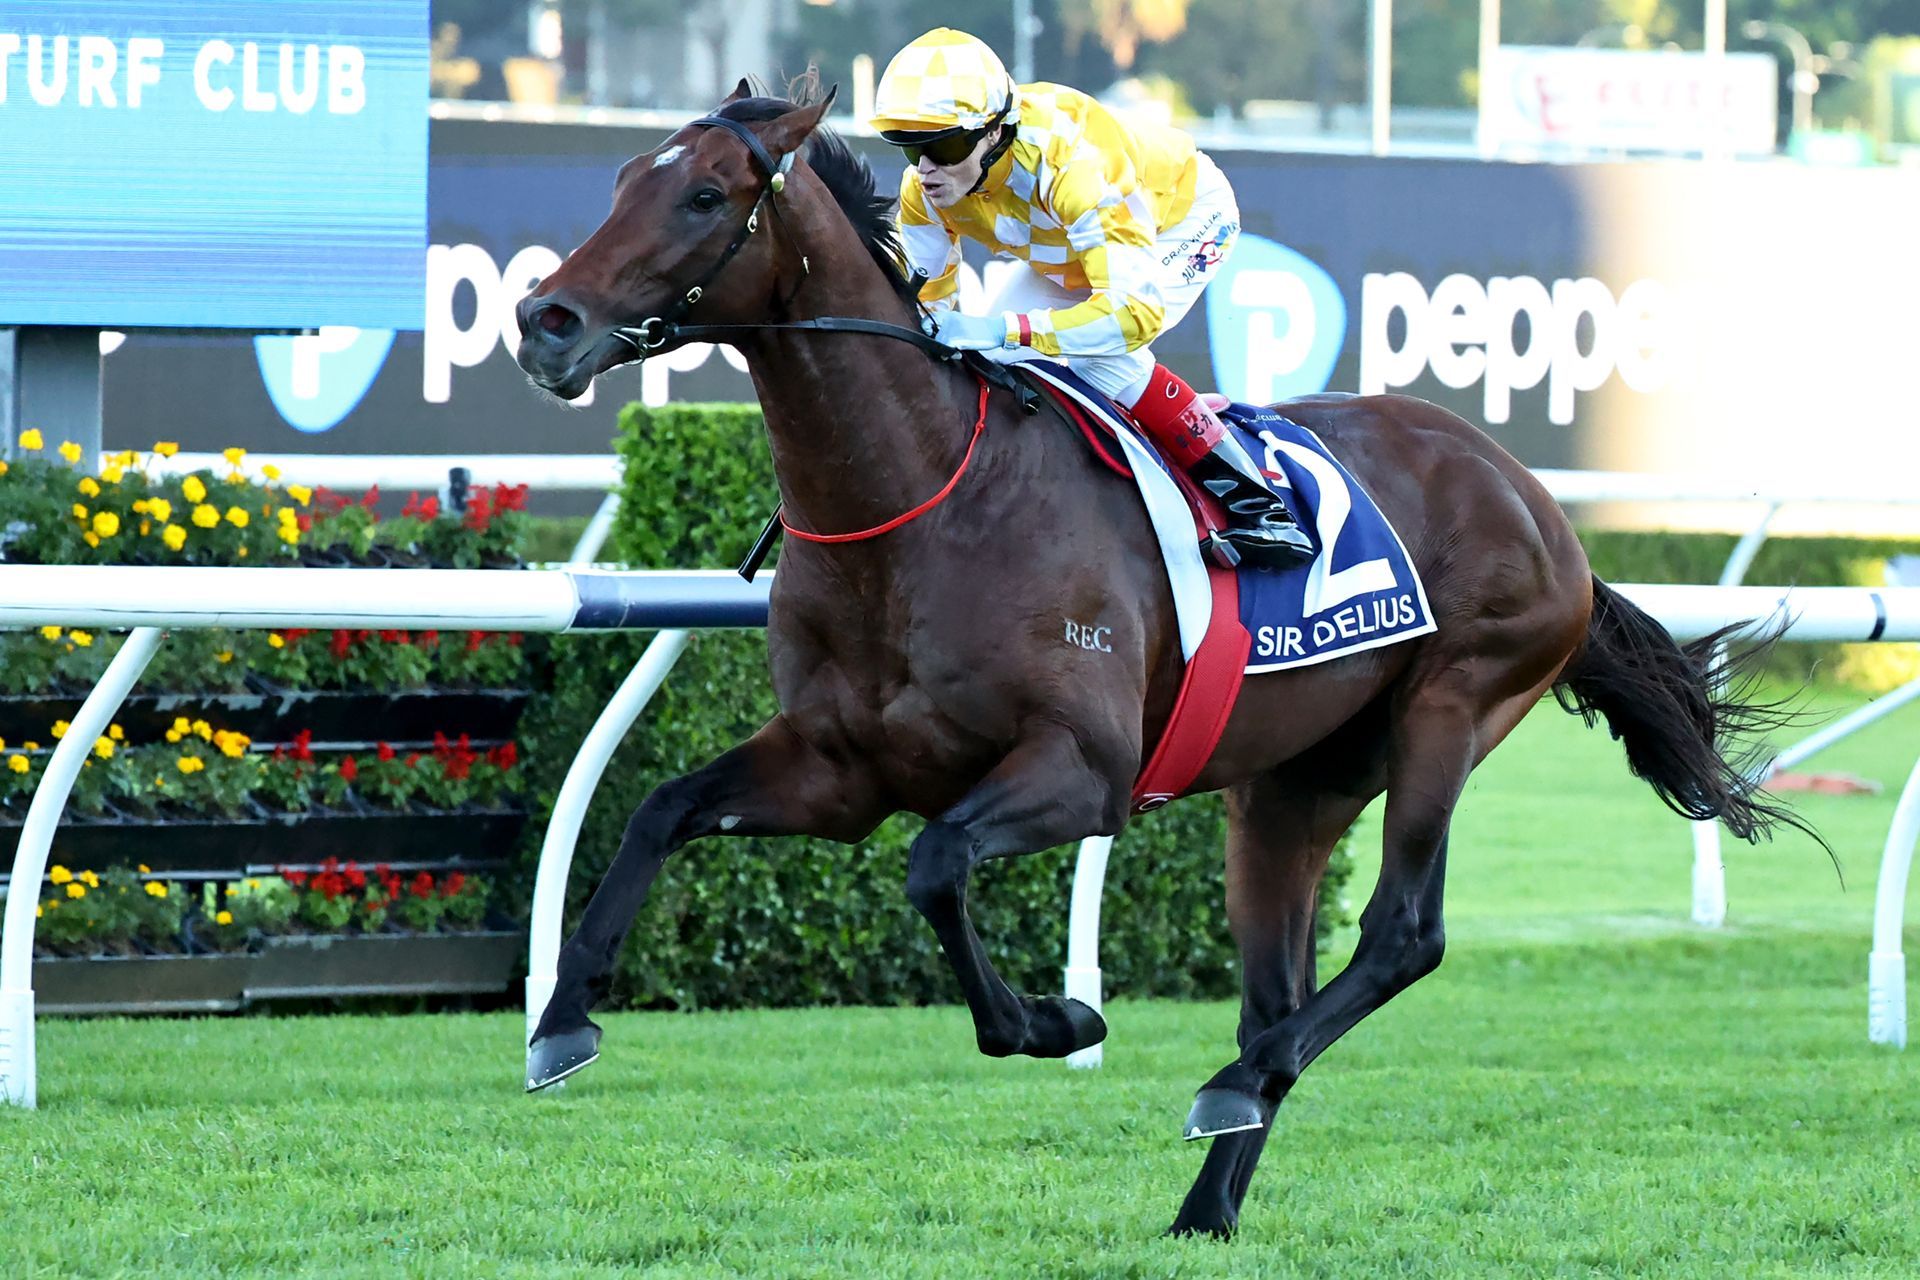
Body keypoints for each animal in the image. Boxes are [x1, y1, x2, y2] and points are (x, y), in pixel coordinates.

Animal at [511, 81, 1806, 1238]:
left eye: (705, 194)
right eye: (623, 179)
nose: (544, 322)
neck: (922, 503)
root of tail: (1536, 502)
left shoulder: (1080, 771)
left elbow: (935, 864)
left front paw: (1059, 1019)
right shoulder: (837, 770)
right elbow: (660, 807)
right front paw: (560, 1022)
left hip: (1455, 704)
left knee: (1400, 936)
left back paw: (1235, 1086)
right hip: (1293, 784)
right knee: (1276, 989)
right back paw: (1209, 1194)